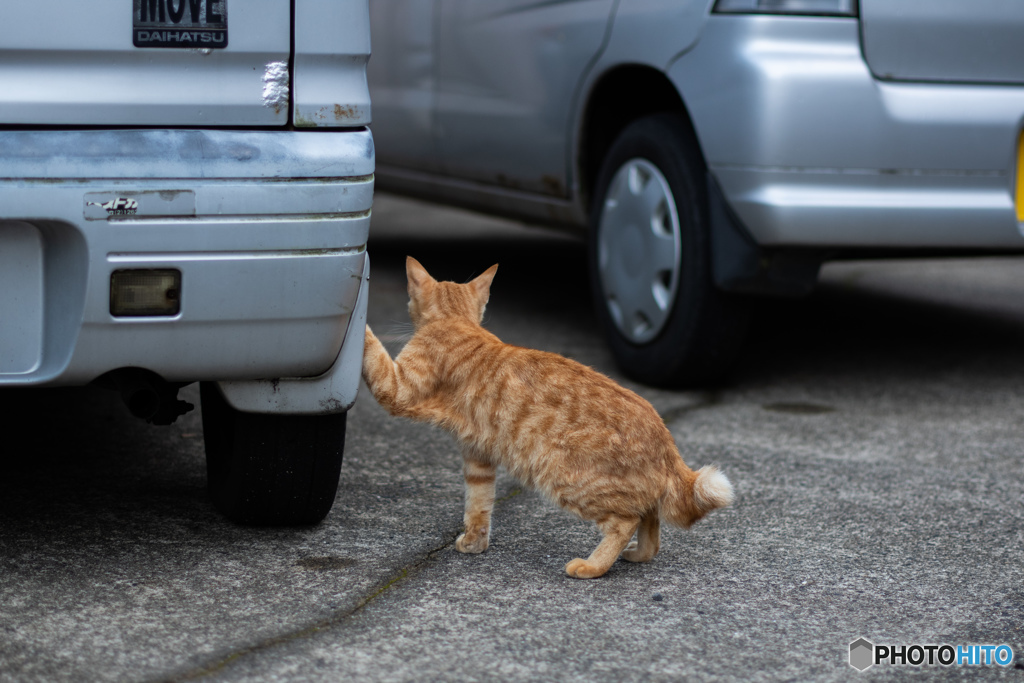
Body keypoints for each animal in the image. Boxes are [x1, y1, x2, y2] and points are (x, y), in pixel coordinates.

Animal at [364, 259, 733, 581]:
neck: (459, 324)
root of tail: (667, 441)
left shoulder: (397, 389)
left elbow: (371, 351)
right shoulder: (478, 457)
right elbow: (478, 505)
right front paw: (474, 542)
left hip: (563, 477)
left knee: (625, 521)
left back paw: (592, 566)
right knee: (651, 522)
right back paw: (639, 554)